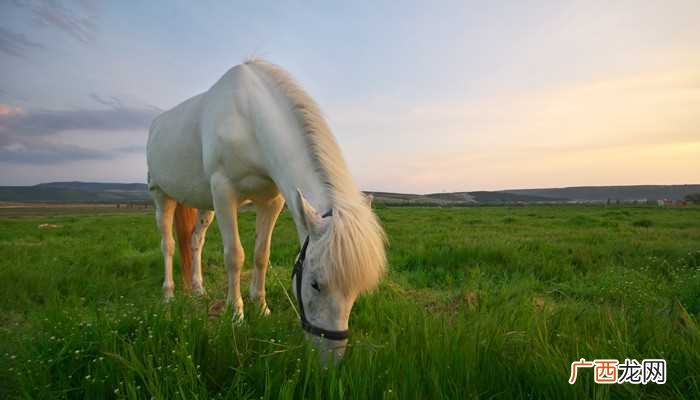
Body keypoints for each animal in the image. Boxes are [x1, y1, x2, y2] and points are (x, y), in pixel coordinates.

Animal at [146, 59, 387, 356]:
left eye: (356, 290)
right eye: (315, 284)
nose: (331, 357)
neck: (249, 119)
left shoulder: (271, 201)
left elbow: (261, 255)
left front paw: (261, 308)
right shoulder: (223, 192)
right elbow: (234, 256)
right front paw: (236, 314)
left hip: (205, 205)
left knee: (195, 241)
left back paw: (198, 288)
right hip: (161, 195)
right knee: (167, 244)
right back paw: (168, 294)